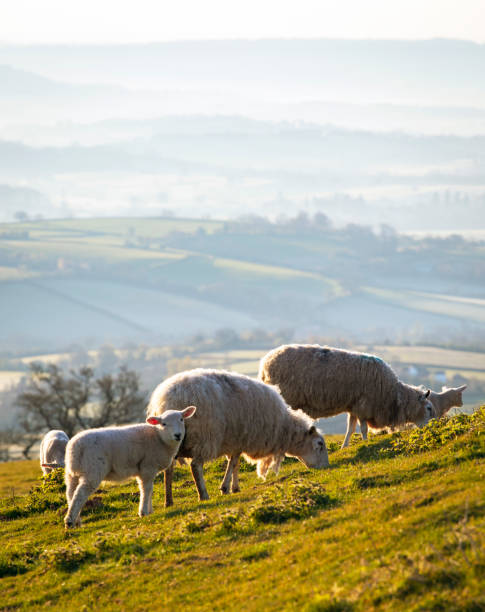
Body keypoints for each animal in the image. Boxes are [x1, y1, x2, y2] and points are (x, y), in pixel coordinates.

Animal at [62, 406, 195, 524]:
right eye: (164, 424)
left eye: (181, 419)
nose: (177, 435)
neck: (159, 437)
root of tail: (76, 446)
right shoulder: (147, 467)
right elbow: (146, 489)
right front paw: (143, 512)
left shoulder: (145, 470)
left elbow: (149, 489)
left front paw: (150, 510)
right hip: (93, 469)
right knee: (80, 494)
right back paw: (70, 521)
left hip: (72, 472)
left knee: (70, 493)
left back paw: (77, 520)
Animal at [147, 368, 328, 506]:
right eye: (319, 444)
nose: (326, 467)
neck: (283, 428)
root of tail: (167, 400)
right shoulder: (240, 439)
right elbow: (233, 463)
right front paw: (226, 488)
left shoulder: (236, 440)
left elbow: (235, 463)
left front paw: (234, 487)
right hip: (204, 436)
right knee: (196, 466)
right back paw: (203, 495)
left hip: (172, 440)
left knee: (169, 469)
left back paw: (168, 500)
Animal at [260, 344, 432, 450]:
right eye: (429, 408)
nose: (431, 426)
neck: (393, 395)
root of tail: (264, 364)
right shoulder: (365, 406)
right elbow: (363, 429)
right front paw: (365, 442)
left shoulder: (354, 407)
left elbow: (351, 429)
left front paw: (344, 446)